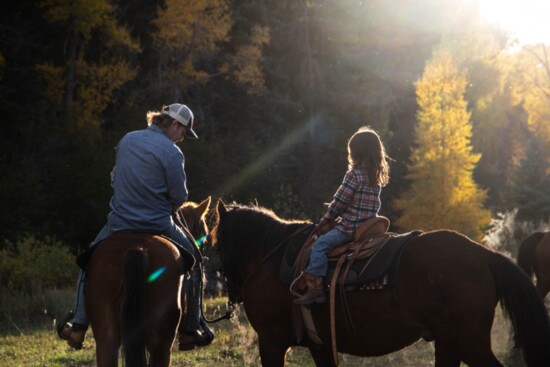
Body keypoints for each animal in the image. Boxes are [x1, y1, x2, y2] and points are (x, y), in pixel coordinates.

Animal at [211, 201, 550, 367]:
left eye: (216, 242)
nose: (232, 290)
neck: (271, 255)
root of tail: (484, 254)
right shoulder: (320, 344)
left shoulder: (271, 341)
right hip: (449, 342)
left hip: (469, 342)